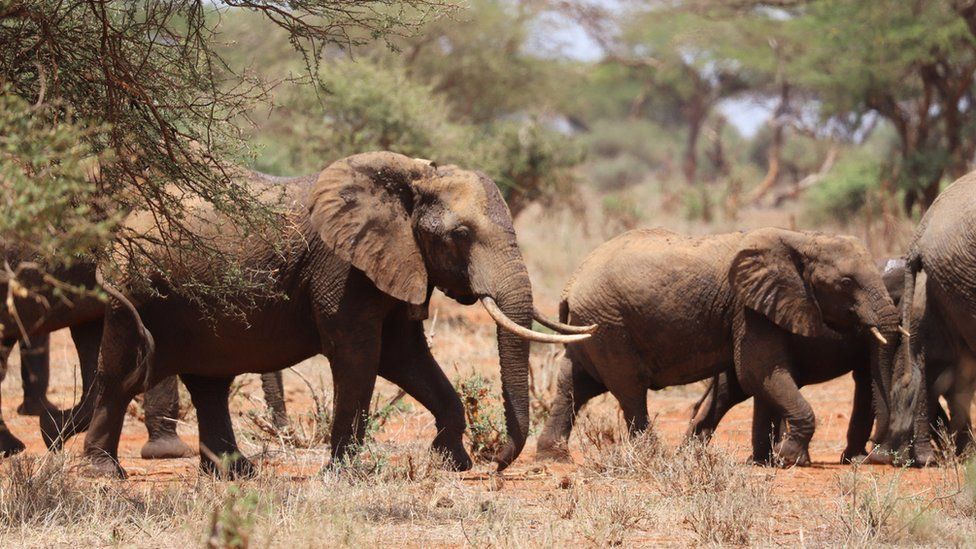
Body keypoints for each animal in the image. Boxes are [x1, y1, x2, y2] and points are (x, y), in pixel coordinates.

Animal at [80, 152, 588, 478]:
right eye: (460, 235)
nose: (494, 463)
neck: (412, 181)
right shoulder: (341, 266)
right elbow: (358, 356)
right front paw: (342, 476)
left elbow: (405, 357)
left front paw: (450, 464)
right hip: (134, 287)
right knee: (120, 373)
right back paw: (104, 474)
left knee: (210, 383)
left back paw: (234, 474)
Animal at [532, 227, 900, 466]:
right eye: (846, 283)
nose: (872, 454)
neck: (802, 238)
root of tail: (570, 285)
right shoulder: (748, 309)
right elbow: (758, 372)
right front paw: (788, 460)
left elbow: (760, 378)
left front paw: (766, 462)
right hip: (610, 326)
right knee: (630, 389)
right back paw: (654, 457)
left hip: (591, 328)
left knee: (574, 384)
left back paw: (553, 458)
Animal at [688, 260, 936, 464]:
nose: (876, 443)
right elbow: (868, 379)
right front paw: (858, 459)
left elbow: (867, 381)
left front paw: (855, 460)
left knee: (729, 392)